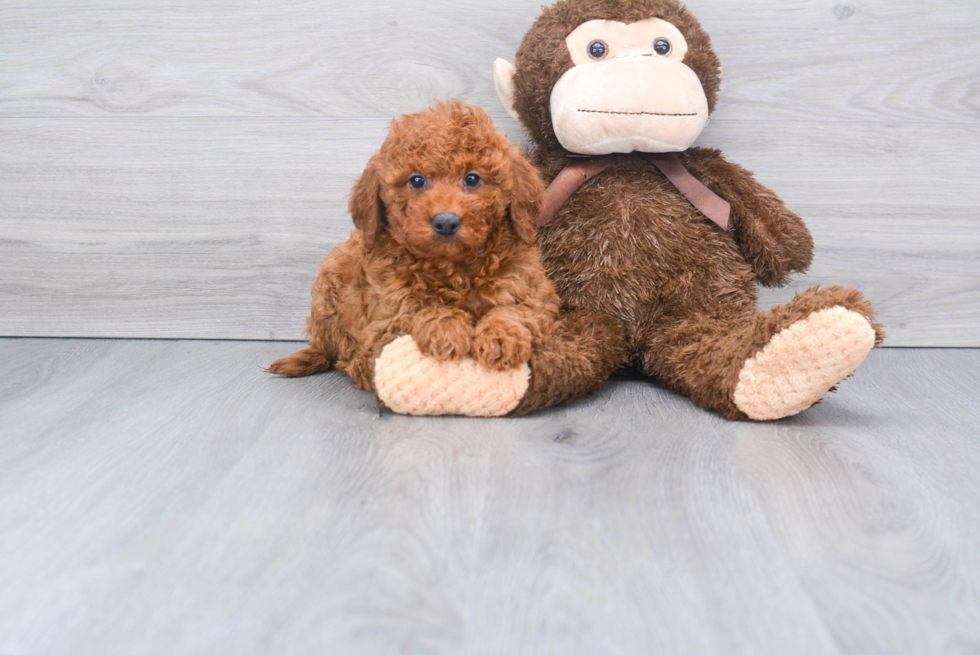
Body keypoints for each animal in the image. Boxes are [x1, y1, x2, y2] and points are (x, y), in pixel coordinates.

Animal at [270, 99, 560, 398]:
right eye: (417, 181)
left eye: (472, 179)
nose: (446, 222)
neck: (453, 269)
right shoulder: (384, 321)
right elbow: (415, 309)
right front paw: (446, 328)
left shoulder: (537, 298)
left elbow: (516, 310)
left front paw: (502, 337)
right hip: (327, 291)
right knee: (339, 352)